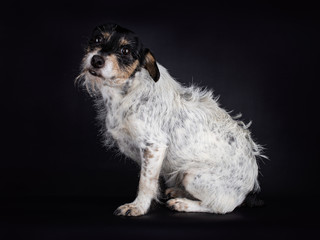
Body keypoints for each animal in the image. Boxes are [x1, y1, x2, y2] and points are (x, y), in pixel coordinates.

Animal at [76, 23, 266, 217]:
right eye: (97, 39)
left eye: (125, 50)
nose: (96, 60)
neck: (125, 91)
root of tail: (249, 190)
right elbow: (152, 182)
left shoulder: (154, 146)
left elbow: (146, 182)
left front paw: (138, 207)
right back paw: (178, 191)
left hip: (192, 176)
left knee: (221, 206)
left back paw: (183, 203)